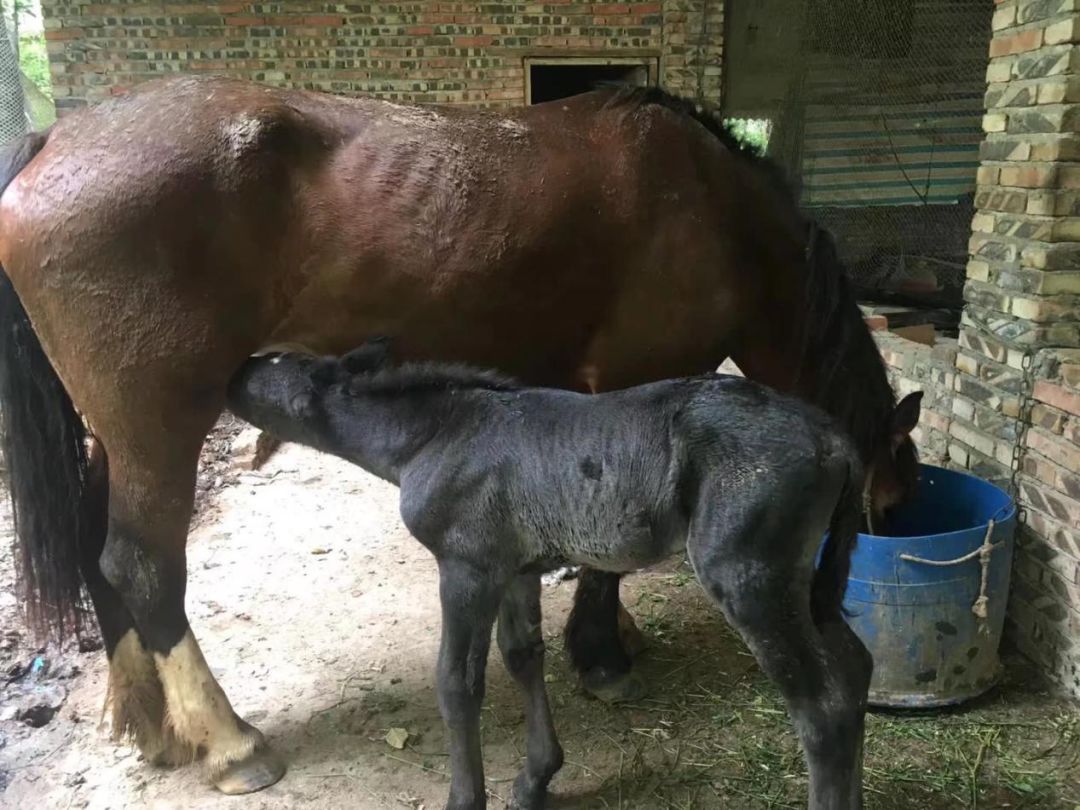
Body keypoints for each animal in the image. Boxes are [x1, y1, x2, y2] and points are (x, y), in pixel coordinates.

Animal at [225, 343, 868, 810]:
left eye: (276, 363)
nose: (235, 367)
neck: (432, 434)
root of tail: (835, 439)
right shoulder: (516, 568)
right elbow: (522, 655)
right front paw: (536, 779)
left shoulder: (466, 567)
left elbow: (458, 682)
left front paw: (466, 799)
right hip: (801, 580)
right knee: (854, 665)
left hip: (747, 574)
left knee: (822, 707)